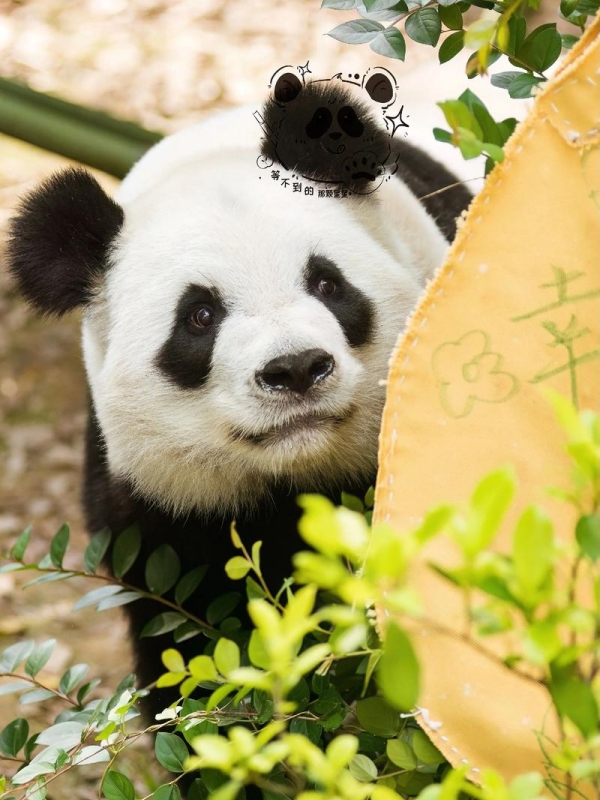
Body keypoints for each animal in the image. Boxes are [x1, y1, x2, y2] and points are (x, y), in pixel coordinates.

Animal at [6, 70, 471, 731]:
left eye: (327, 283)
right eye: (200, 316)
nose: (296, 369)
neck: (296, 475)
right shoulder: (158, 518)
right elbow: (192, 659)